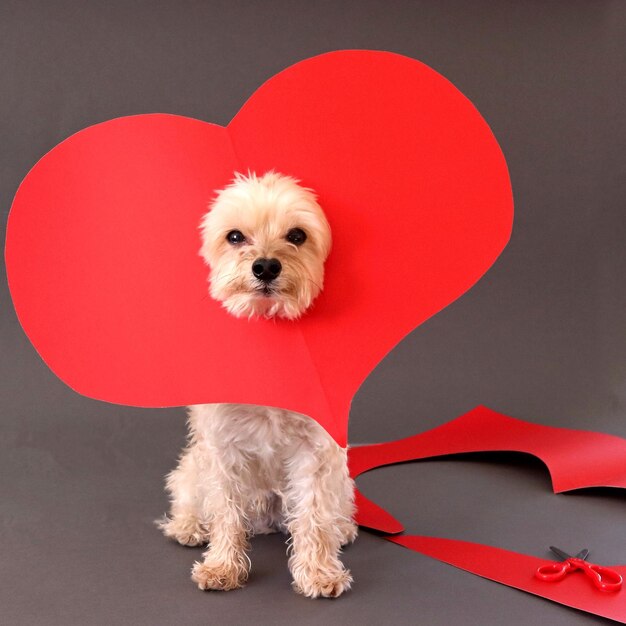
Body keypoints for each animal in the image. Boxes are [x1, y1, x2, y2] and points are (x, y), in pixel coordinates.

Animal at [158, 169, 356, 596]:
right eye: (235, 236)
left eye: (297, 235)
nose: (265, 266)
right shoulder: (222, 448)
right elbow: (226, 511)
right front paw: (222, 566)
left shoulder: (317, 452)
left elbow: (314, 513)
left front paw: (318, 572)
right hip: (192, 467)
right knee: (190, 495)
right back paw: (188, 526)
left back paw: (343, 527)